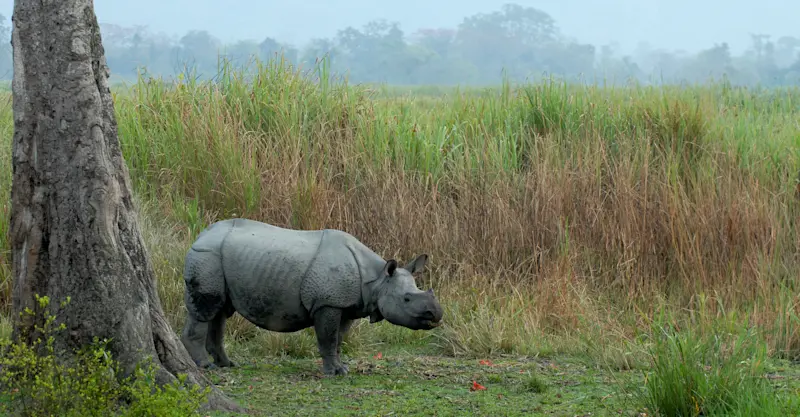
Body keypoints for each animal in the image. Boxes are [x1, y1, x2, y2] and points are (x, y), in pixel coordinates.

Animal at [179, 218, 444, 375]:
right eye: (407, 299)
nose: (437, 315)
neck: (378, 279)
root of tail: (200, 235)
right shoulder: (327, 303)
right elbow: (327, 338)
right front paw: (334, 373)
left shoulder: (346, 305)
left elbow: (338, 339)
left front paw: (341, 367)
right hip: (207, 256)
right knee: (205, 310)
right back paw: (206, 366)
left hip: (218, 259)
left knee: (219, 312)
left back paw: (227, 364)